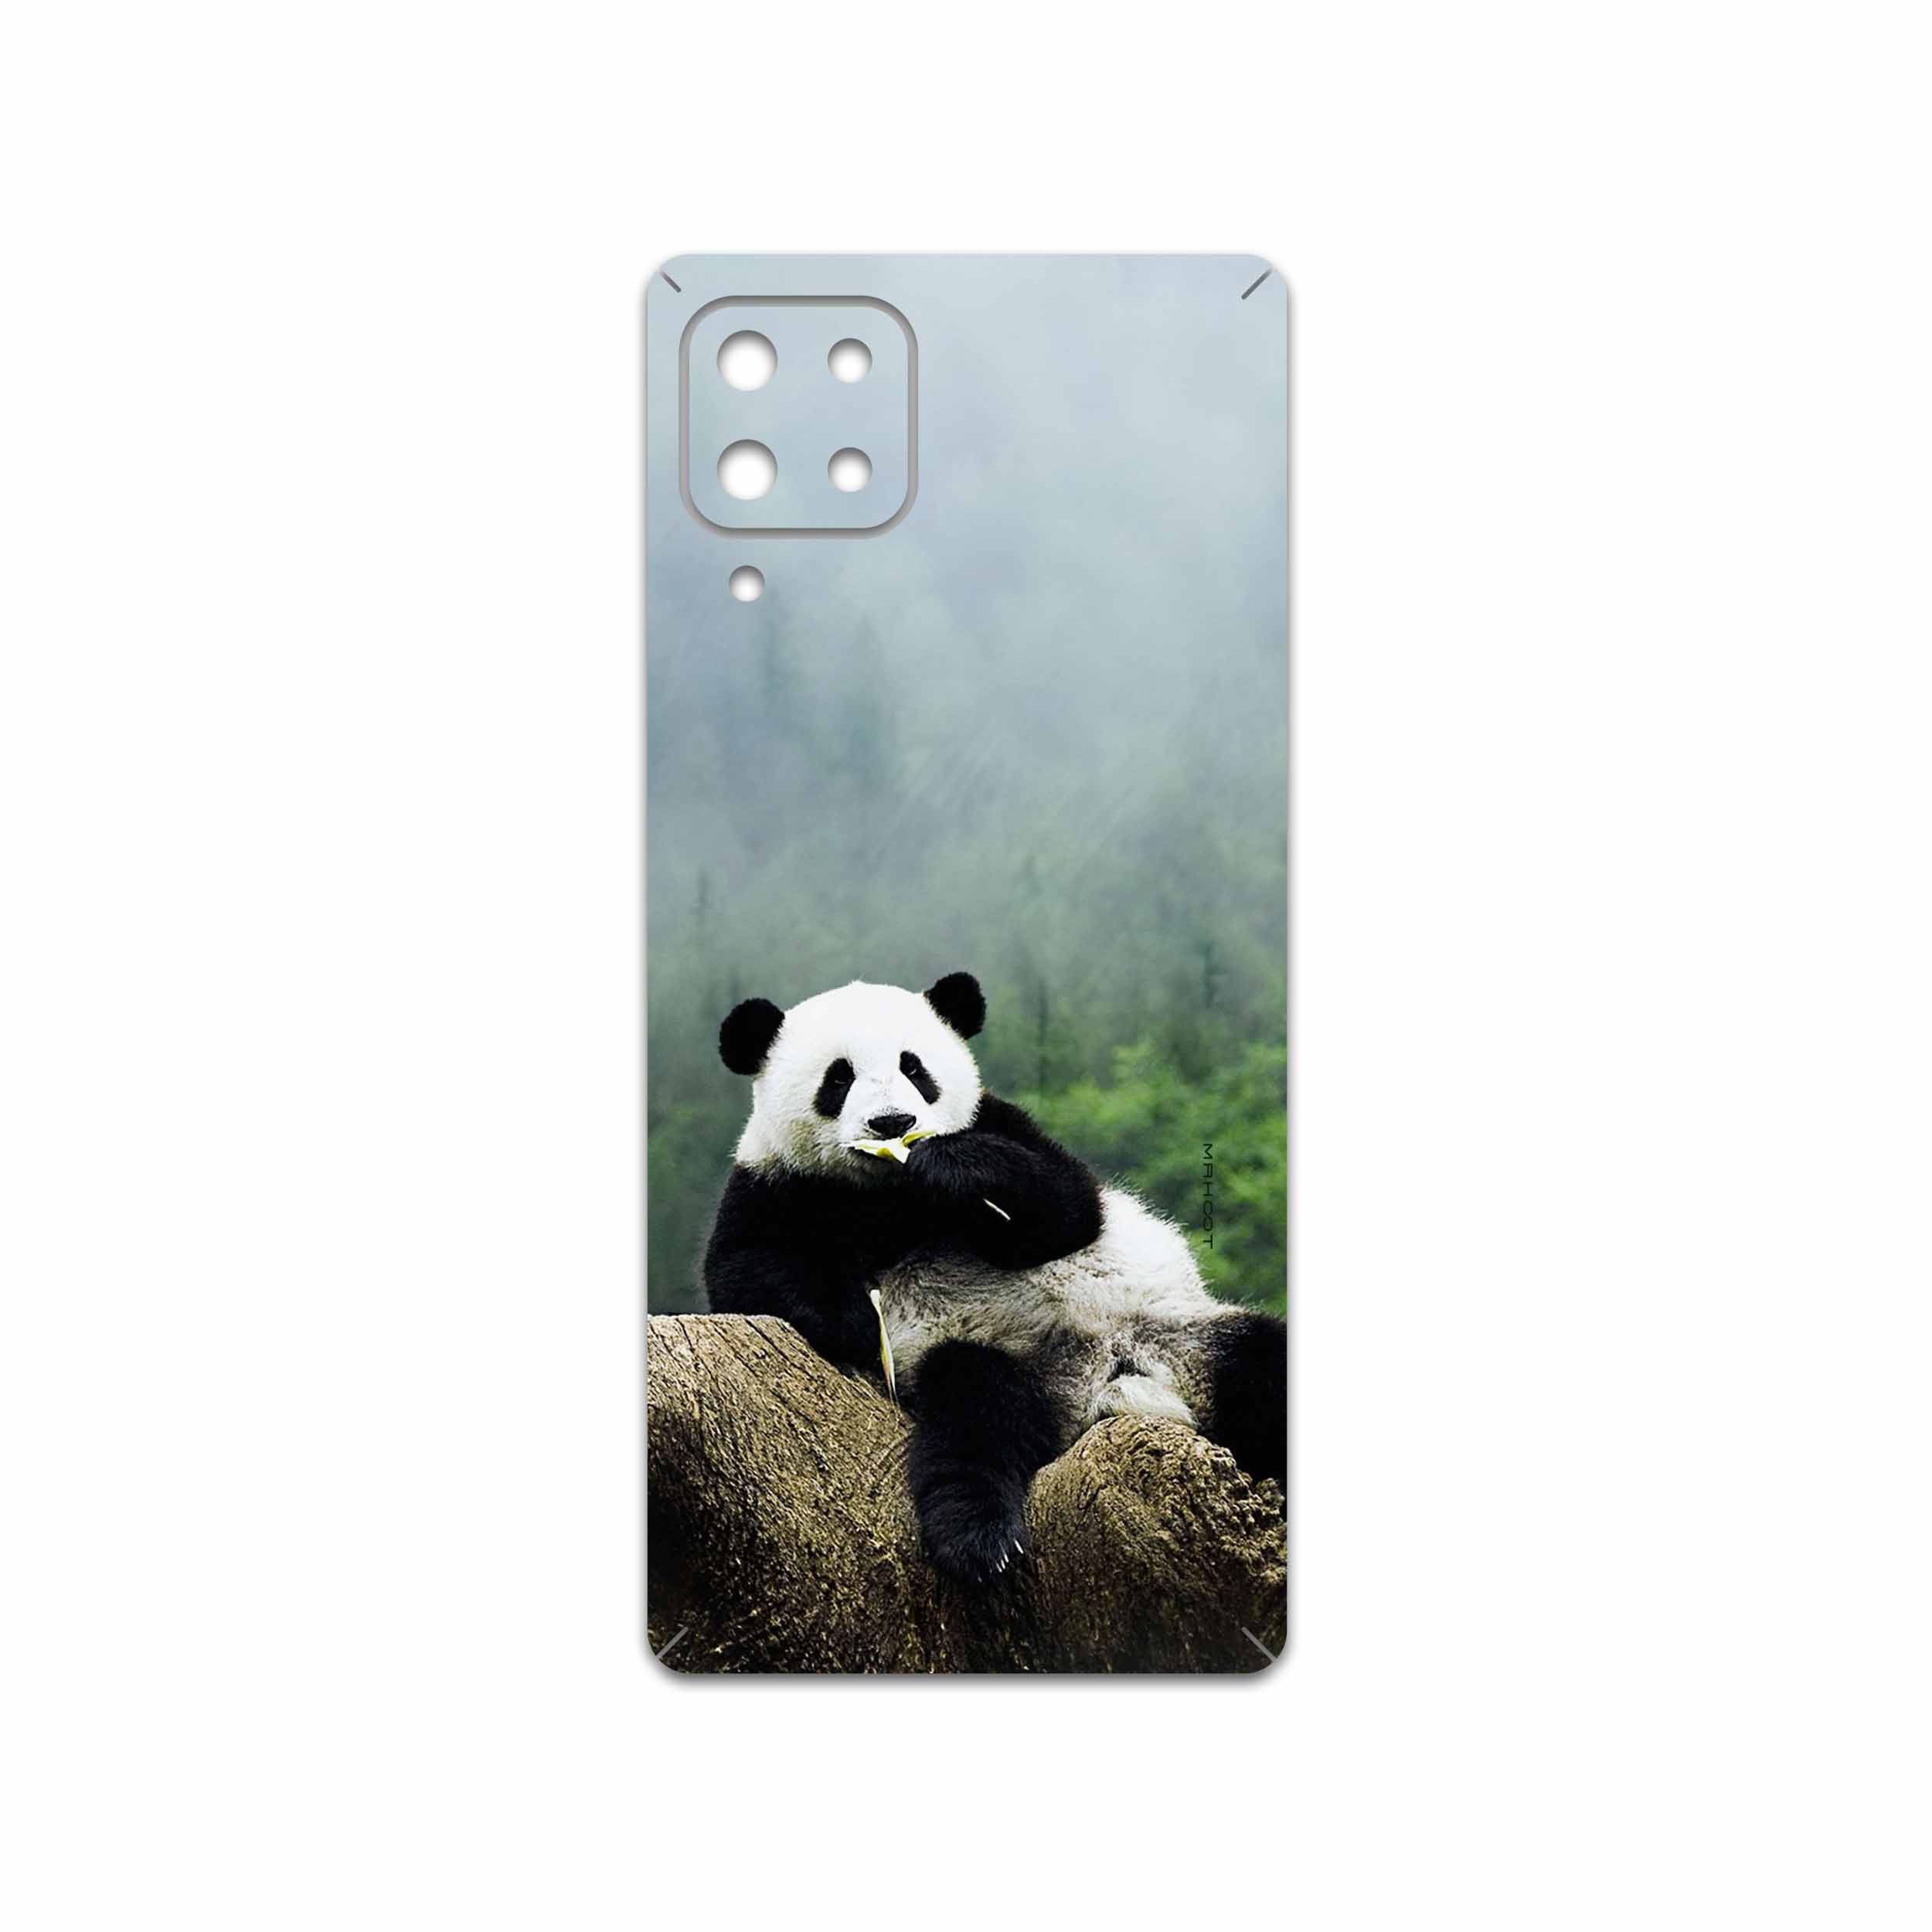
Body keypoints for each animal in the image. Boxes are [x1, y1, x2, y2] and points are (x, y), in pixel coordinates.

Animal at [703, 971, 1286, 1582]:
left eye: (915, 1068)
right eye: (839, 1077)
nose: (893, 1123)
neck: (889, 1194)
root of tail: (1105, 1384)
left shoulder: (1000, 1123)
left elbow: (1069, 1207)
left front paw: (951, 1168)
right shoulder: (774, 1184)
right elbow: (744, 1269)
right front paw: (857, 1320)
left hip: (1181, 1334)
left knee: (1262, 1363)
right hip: (991, 1358)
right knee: (975, 1422)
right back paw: (980, 1540)